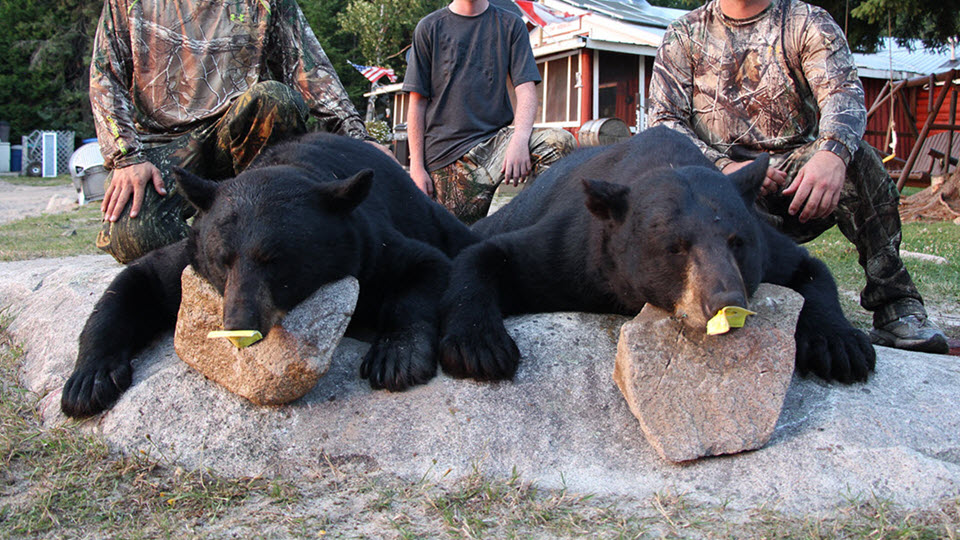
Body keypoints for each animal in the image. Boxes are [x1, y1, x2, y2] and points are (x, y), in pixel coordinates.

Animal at [60, 132, 476, 418]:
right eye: (222, 260)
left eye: (276, 261)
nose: (238, 323)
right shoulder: (190, 253)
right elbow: (137, 282)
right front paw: (89, 381)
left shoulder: (369, 245)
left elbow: (425, 267)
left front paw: (396, 357)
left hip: (432, 214)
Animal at [442, 124, 876, 382]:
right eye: (675, 247)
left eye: (737, 242)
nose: (725, 300)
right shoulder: (577, 250)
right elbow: (491, 255)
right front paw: (479, 345)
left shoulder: (768, 245)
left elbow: (811, 268)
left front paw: (840, 344)